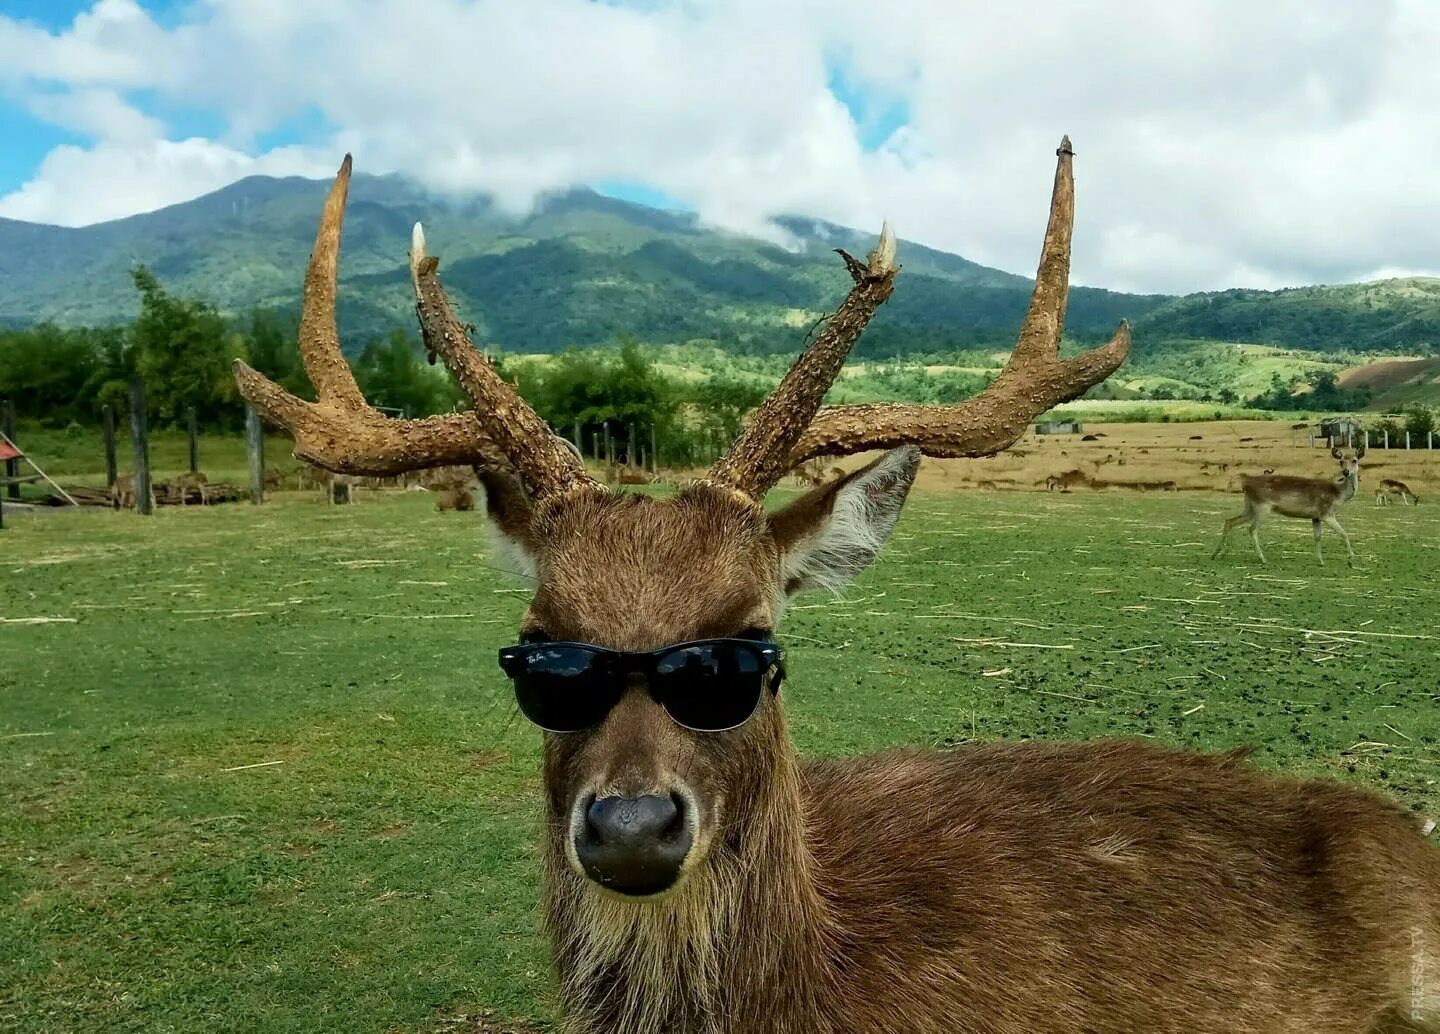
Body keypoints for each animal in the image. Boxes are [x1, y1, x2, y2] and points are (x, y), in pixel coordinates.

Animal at [1209, 446, 1365, 570]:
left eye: (1355, 460)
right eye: (1341, 461)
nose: (1346, 472)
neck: (1337, 495)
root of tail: (1246, 482)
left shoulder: (1315, 517)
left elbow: (1317, 537)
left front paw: (1320, 561)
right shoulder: (1326, 513)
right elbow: (1344, 533)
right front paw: (1351, 561)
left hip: (1249, 506)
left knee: (1230, 521)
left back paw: (1218, 554)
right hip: (1262, 507)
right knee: (1251, 529)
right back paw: (1262, 558)